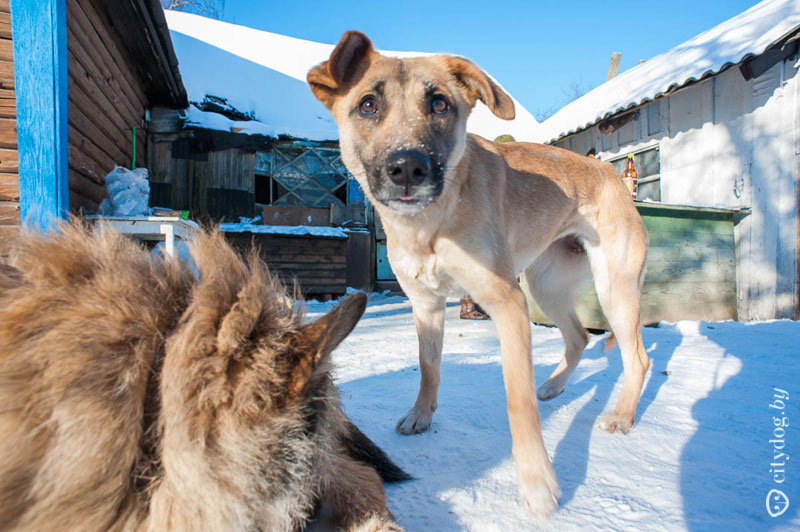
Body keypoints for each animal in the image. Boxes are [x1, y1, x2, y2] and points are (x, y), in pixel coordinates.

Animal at [306, 32, 648, 516]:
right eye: (368, 104)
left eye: (440, 104)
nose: (408, 168)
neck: (431, 222)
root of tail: (608, 169)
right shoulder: (426, 306)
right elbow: (428, 366)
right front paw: (421, 415)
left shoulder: (507, 303)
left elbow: (517, 402)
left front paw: (537, 483)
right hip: (546, 286)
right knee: (580, 336)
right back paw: (555, 386)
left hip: (612, 289)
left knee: (638, 357)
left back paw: (620, 415)